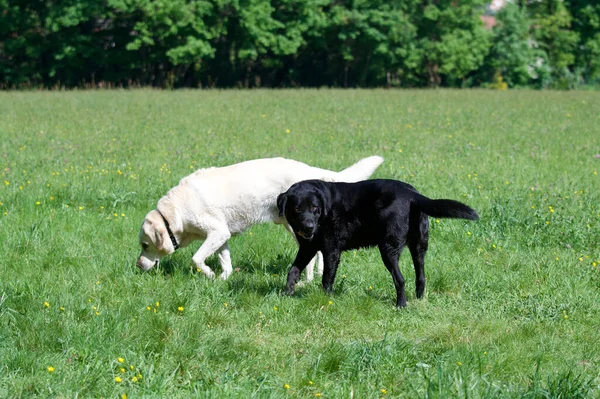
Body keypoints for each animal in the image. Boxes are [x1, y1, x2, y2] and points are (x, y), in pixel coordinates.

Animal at [137, 156, 382, 282]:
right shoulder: (221, 236)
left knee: (311, 255)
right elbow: (225, 260)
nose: (138, 265)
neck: (176, 213)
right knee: (320, 252)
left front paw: (209, 274)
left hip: (296, 227)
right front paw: (223, 278)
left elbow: (196, 259)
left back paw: (307, 280)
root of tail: (309, 171)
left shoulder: (216, 232)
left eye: (145, 245)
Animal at [276, 180, 478, 308]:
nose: (308, 226)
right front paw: (286, 294)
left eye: (315, 208)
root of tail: (413, 195)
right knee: (420, 276)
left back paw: (401, 305)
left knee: (400, 279)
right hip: (419, 246)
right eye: (297, 209)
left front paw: (326, 300)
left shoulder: (331, 251)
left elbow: (327, 279)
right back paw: (419, 300)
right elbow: (293, 270)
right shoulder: (307, 248)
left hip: (388, 249)